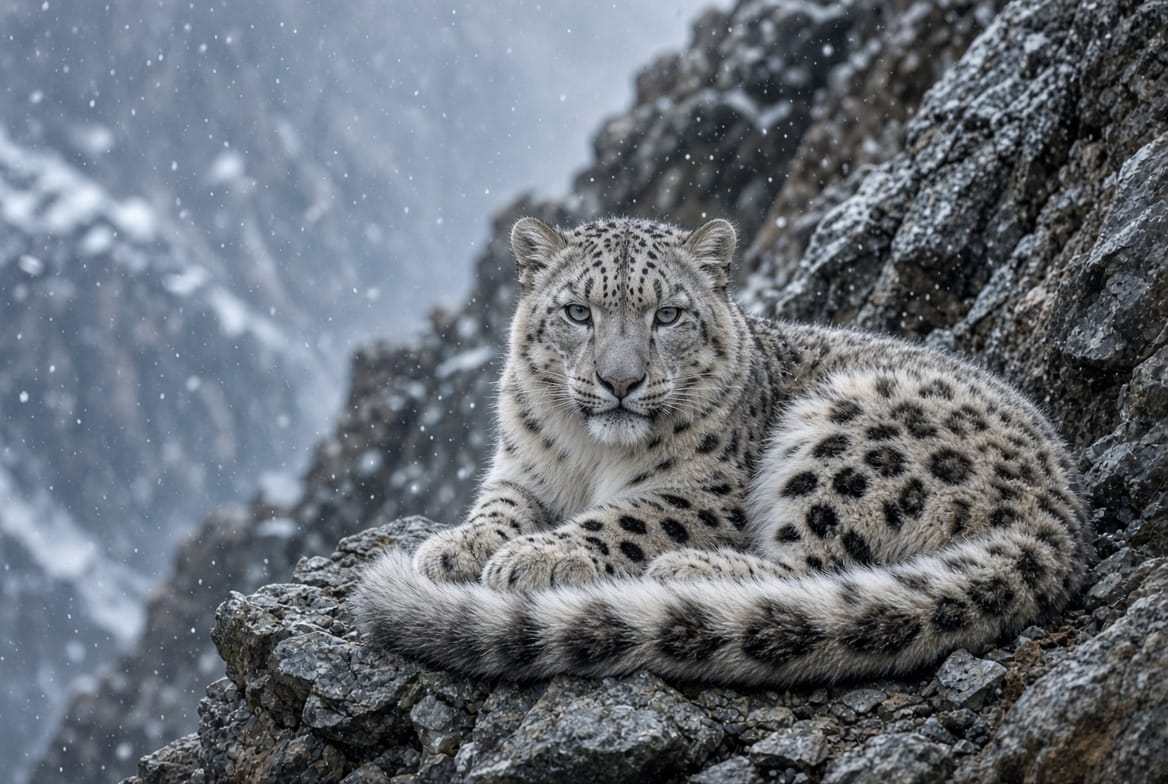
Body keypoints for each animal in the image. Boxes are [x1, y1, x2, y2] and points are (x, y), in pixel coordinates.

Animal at [354, 216, 1092, 685]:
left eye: (668, 314)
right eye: (578, 312)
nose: (620, 381)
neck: (591, 457)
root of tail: (1062, 516)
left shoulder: (708, 490)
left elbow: (626, 516)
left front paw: (538, 555)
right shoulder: (522, 467)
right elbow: (497, 506)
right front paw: (457, 546)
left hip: (847, 436)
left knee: (810, 569)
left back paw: (686, 569)